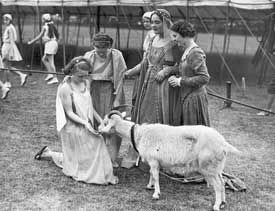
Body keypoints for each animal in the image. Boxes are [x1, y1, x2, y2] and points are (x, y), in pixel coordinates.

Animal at [98, 110, 240, 211]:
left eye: (105, 122)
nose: (98, 129)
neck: (139, 134)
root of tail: (223, 143)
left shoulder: (154, 160)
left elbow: (155, 176)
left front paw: (156, 194)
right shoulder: (154, 161)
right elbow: (151, 173)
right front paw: (149, 186)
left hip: (208, 167)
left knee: (217, 185)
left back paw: (216, 206)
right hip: (218, 167)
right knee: (222, 182)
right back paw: (223, 202)